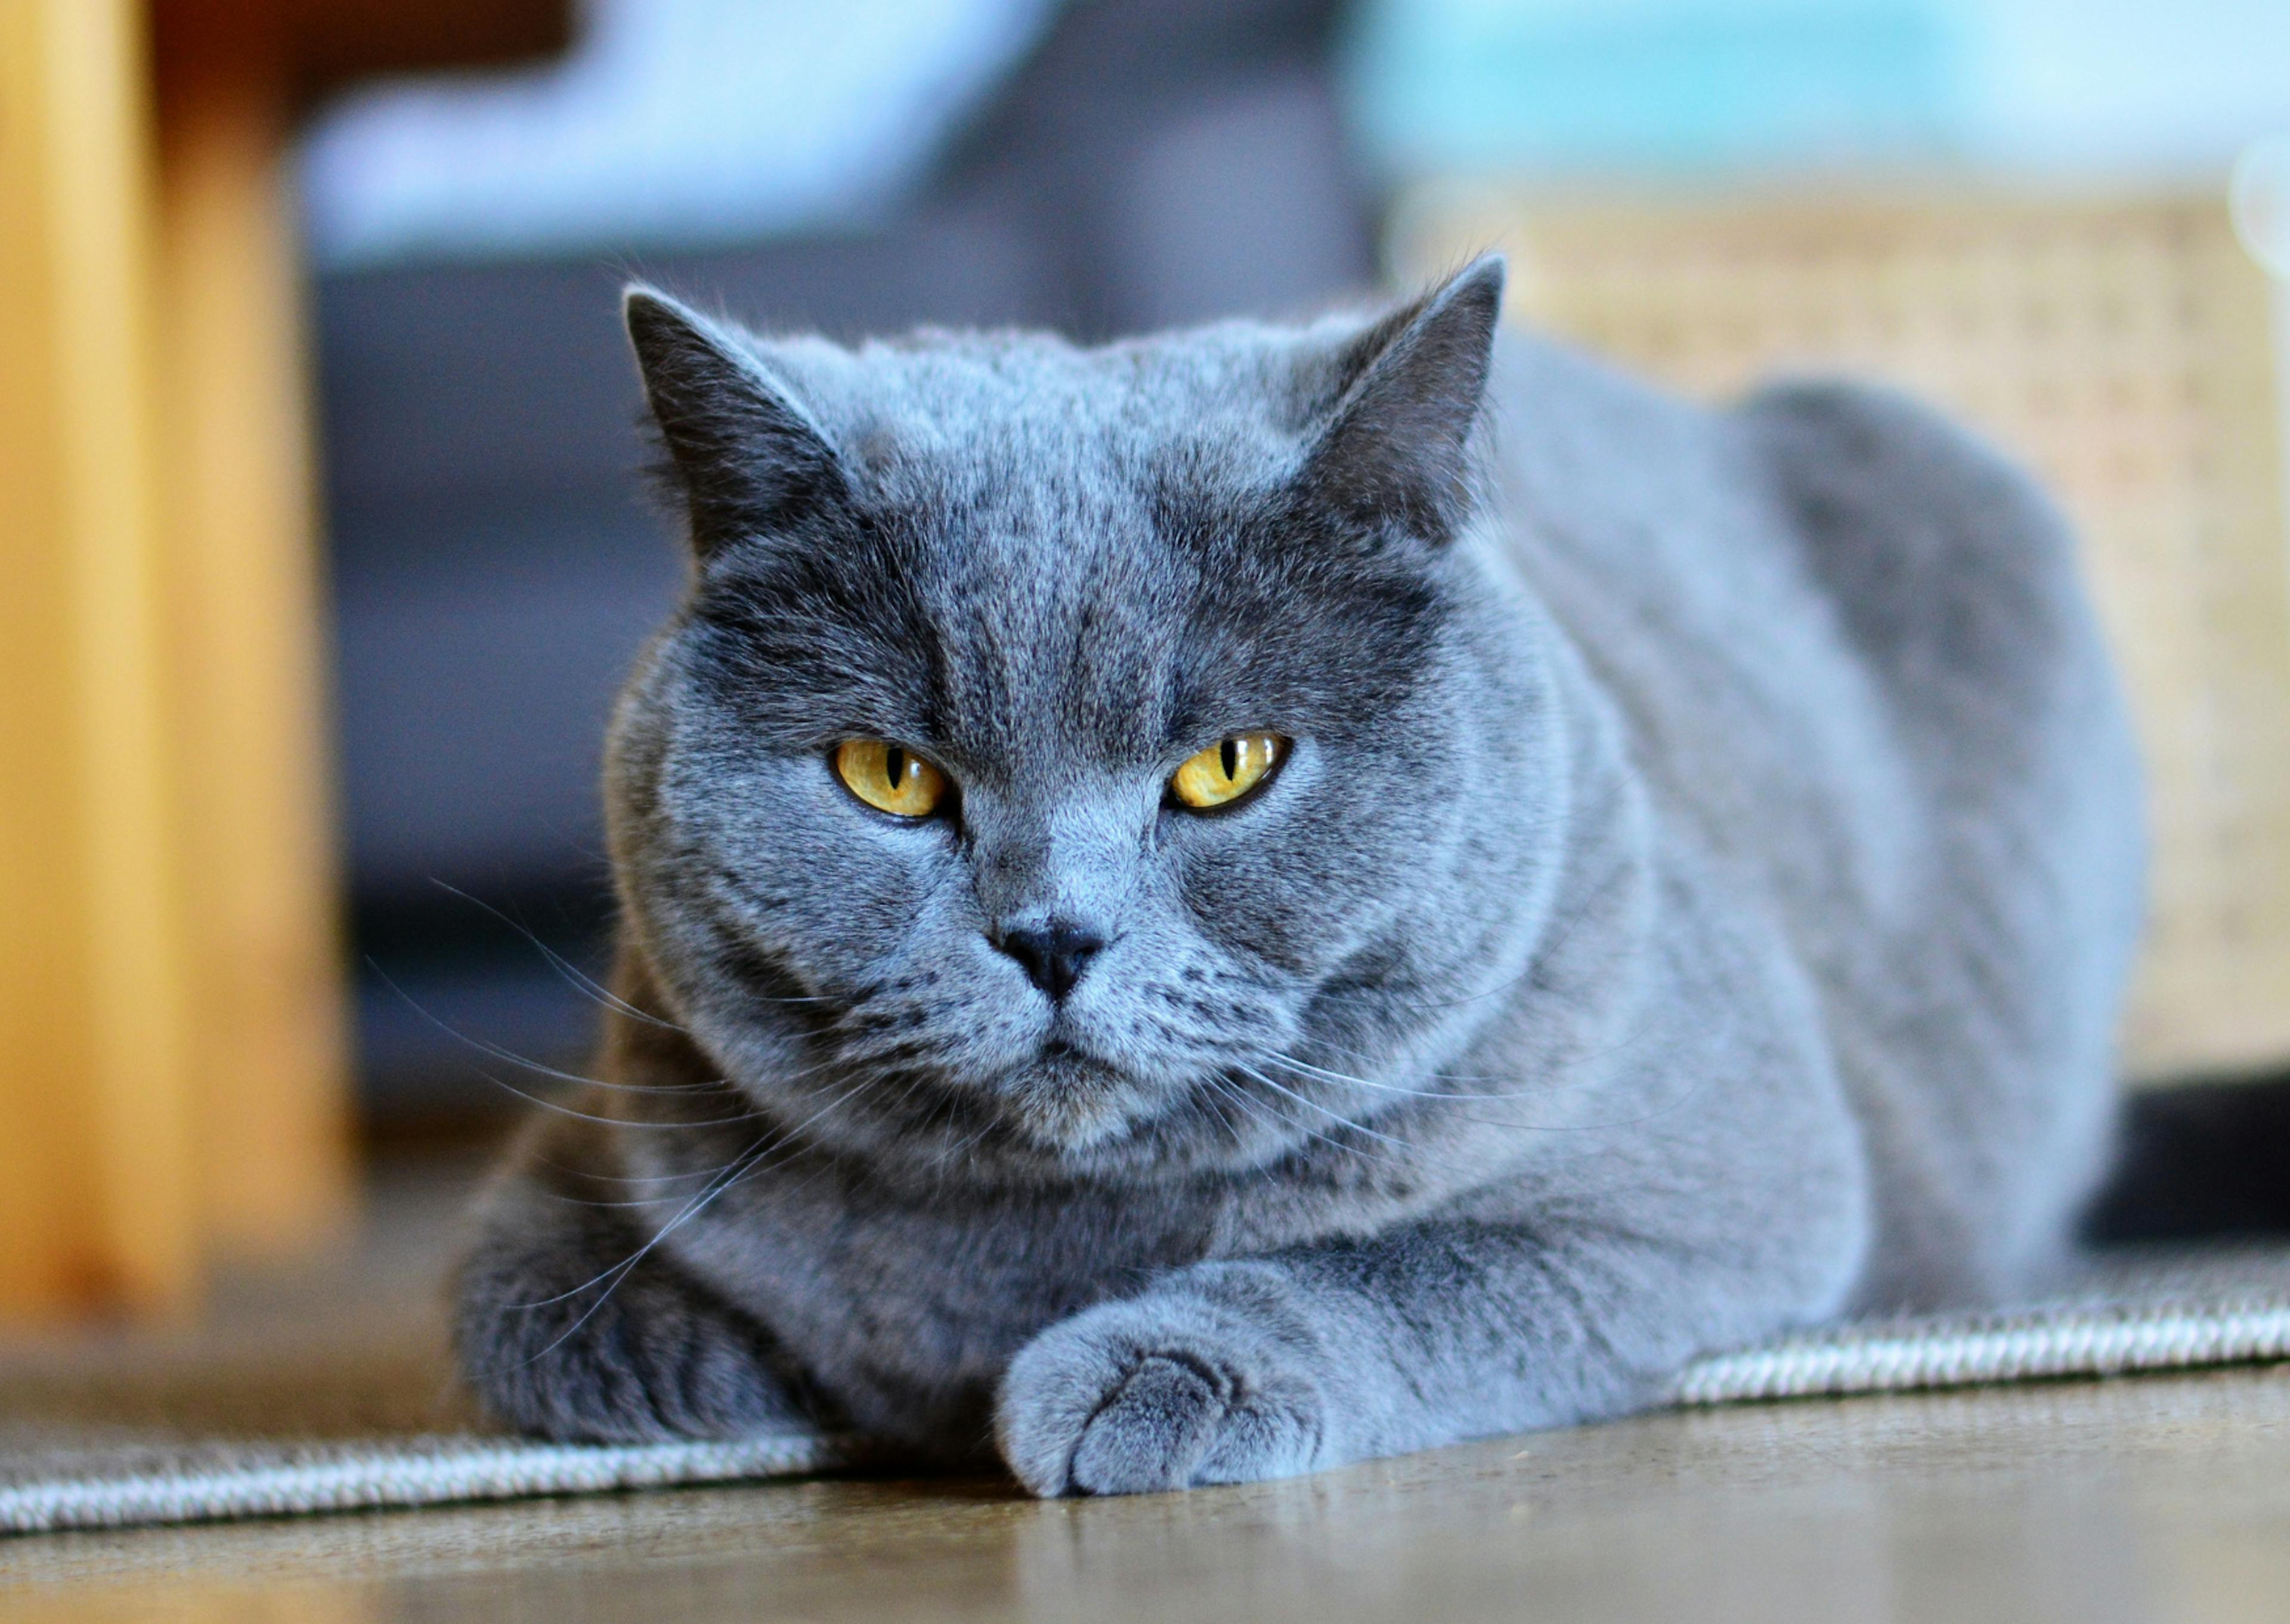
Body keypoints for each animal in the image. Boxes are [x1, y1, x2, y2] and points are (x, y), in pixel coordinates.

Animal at [451, 260, 2143, 1484]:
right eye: (891, 776)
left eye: (1228, 766)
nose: (1052, 935)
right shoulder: (596, 1136)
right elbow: (524, 1316)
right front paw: (740, 1368)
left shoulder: (1723, 1184)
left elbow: (1405, 1264)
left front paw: (1149, 1378)